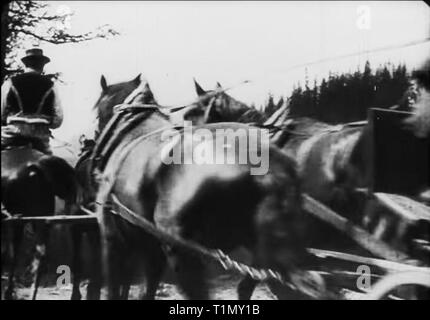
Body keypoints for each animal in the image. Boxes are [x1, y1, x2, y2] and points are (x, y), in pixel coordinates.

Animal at [90, 75, 326, 300]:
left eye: (97, 112)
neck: (132, 129)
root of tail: (265, 167)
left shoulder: (113, 241)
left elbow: (115, 288)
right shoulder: (151, 250)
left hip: (184, 253)